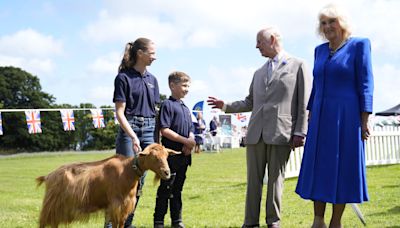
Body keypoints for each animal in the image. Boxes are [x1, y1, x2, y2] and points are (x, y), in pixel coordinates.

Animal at [36, 143, 179, 228]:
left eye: (167, 155)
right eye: (153, 157)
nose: (167, 173)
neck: (127, 171)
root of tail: (49, 176)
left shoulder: (124, 207)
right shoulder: (116, 205)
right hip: (52, 205)